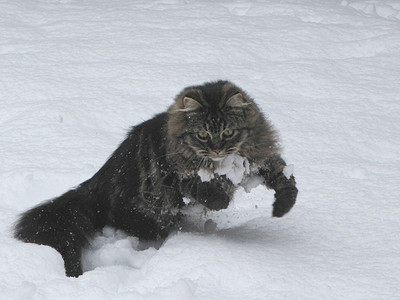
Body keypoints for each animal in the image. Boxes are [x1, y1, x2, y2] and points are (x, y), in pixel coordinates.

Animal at [13, 79, 296, 276]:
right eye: (202, 135)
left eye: (228, 132)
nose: (217, 149)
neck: (221, 163)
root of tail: (94, 187)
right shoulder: (175, 175)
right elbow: (201, 190)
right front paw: (220, 200)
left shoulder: (261, 159)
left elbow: (286, 179)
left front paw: (282, 207)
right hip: (147, 213)